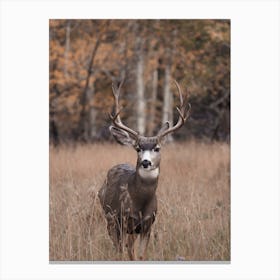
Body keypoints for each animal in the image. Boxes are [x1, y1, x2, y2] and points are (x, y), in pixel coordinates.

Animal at [97, 79, 191, 260]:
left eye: (157, 148)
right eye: (138, 148)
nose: (146, 162)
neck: (140, 203)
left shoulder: (148, 224)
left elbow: (140, 255)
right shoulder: (124, 220)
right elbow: (126, 253)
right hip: (109, 218)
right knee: (118, 246)